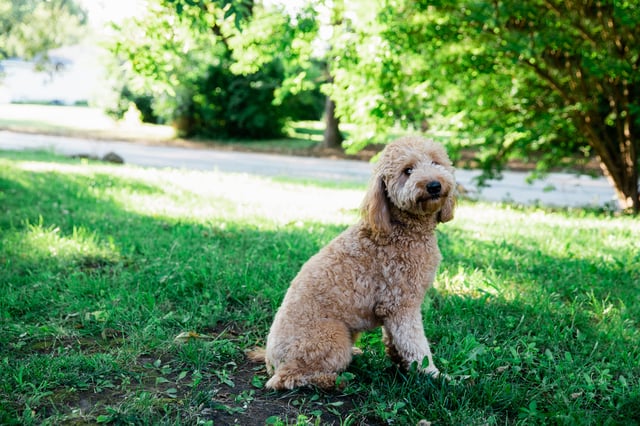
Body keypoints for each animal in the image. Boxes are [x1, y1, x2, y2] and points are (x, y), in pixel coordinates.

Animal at [250, 136, 456, 390]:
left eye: (436, 162)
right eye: (407, 170)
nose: (434, 185)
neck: (401, 227)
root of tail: (270, 360)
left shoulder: (390, 309)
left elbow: (395, 340)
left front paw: (400, 363)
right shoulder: (401, 304)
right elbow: (416, 346)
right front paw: (434, 376)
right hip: (331, 336)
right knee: (285, 378)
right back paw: (334, 380)